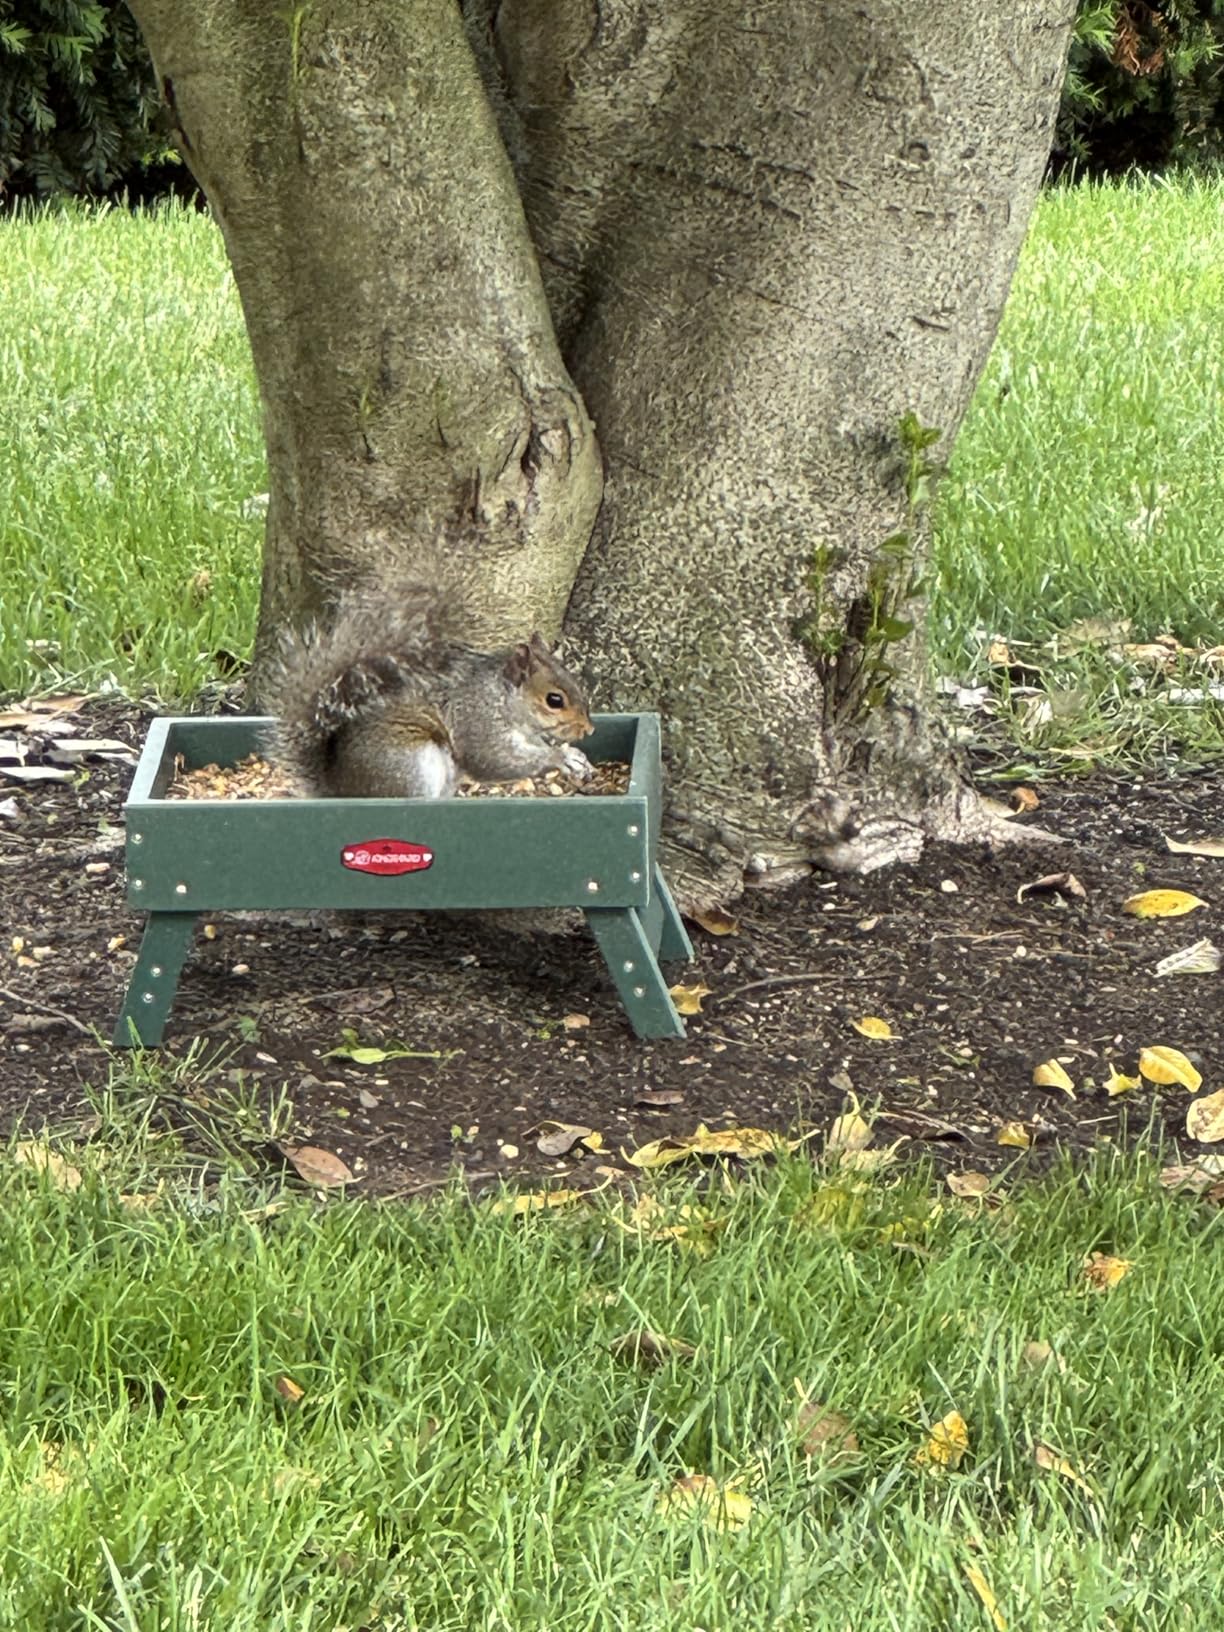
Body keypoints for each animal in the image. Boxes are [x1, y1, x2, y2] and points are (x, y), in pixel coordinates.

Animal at [263, 577, 595, 800]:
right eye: (554, 700)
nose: (589, 730)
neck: (501, 698)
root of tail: (341, 792)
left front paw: (573, 754)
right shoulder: (476, 720)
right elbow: (494, 759)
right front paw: (558, 758)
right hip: (412, 766)